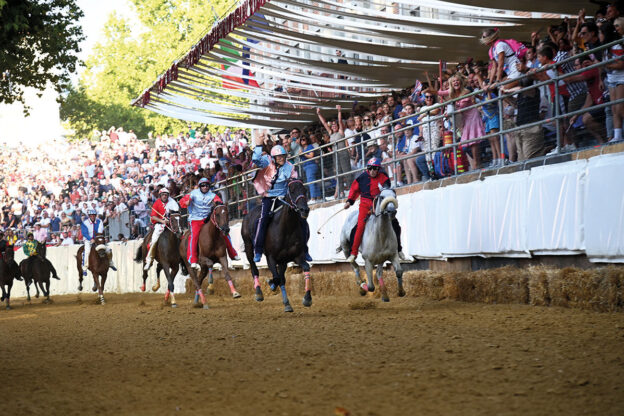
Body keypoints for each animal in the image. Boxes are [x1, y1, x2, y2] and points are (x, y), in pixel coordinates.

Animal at [243, 179, 314, 312]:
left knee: (281, 278)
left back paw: (287, 304)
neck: (287, 228)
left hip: (283, 260)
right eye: (292, 190)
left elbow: (306, 268)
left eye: (304, 190)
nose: (304, 210)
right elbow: (276, 278)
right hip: (249, 246)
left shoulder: (296, 256)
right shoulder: (270, 257)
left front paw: (307, 299)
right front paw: (270, 283)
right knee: (254, 268)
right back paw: (259, 293)